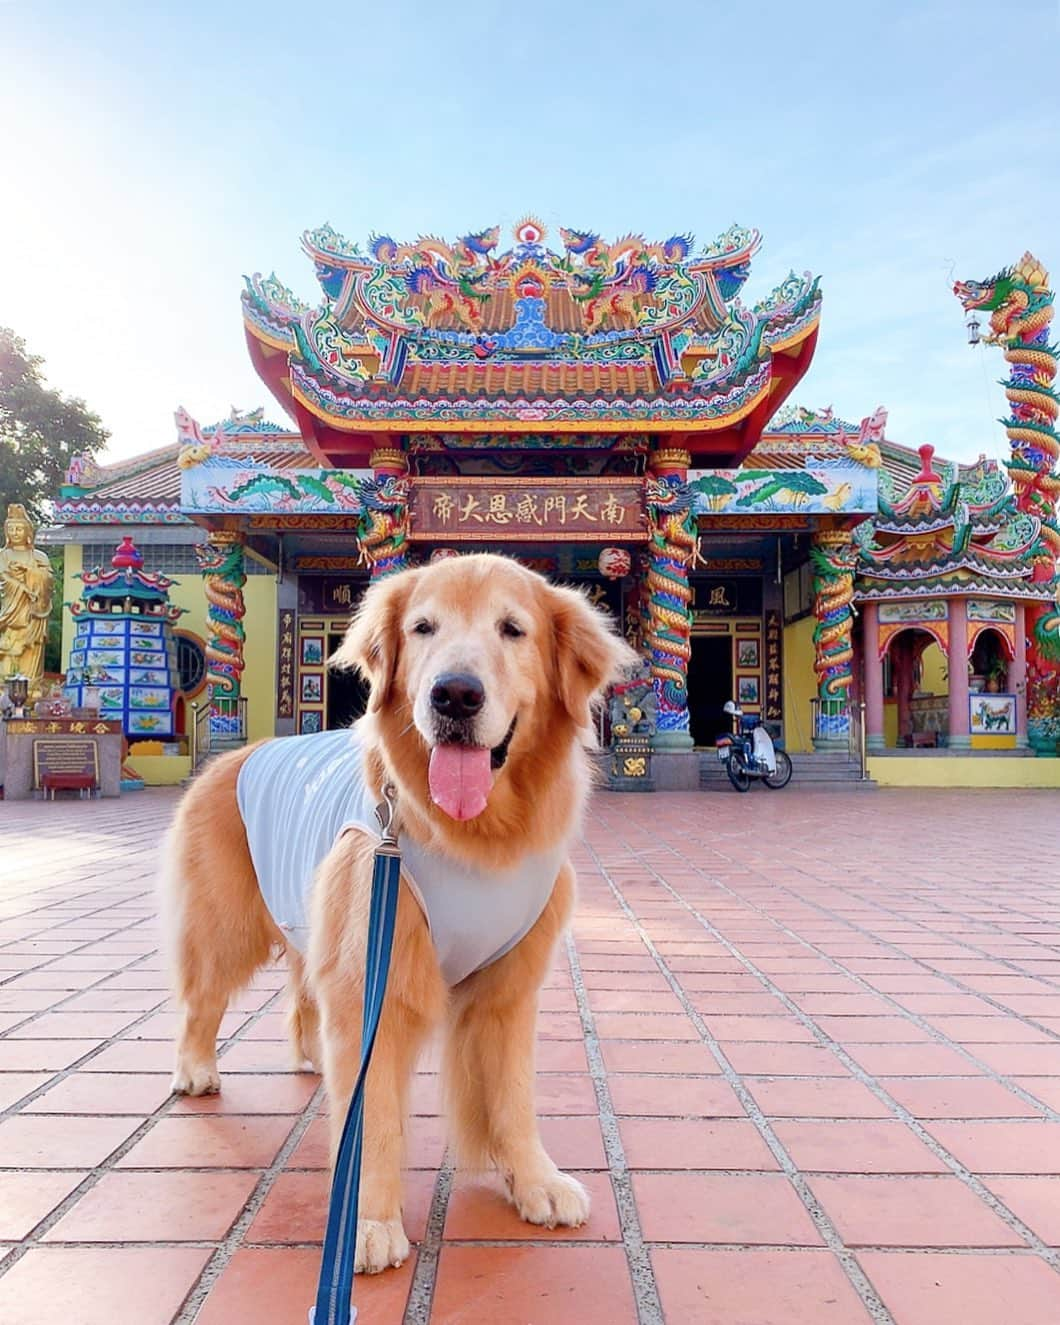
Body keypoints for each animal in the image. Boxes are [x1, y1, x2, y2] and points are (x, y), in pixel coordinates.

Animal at [161, 551, 633, 1272]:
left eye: (512, 629)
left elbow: (514, 1098)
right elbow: (374, 1116)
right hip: (227, 926)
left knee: (303, 1002)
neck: (474, 840)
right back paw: (195, 1070)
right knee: (201, 1001)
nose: (455, 694)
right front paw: (369, 1222)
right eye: (423, 628)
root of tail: (237, 752)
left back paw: (313, 1058)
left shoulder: (508, 988)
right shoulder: (375, 977)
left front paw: (534, 1181)